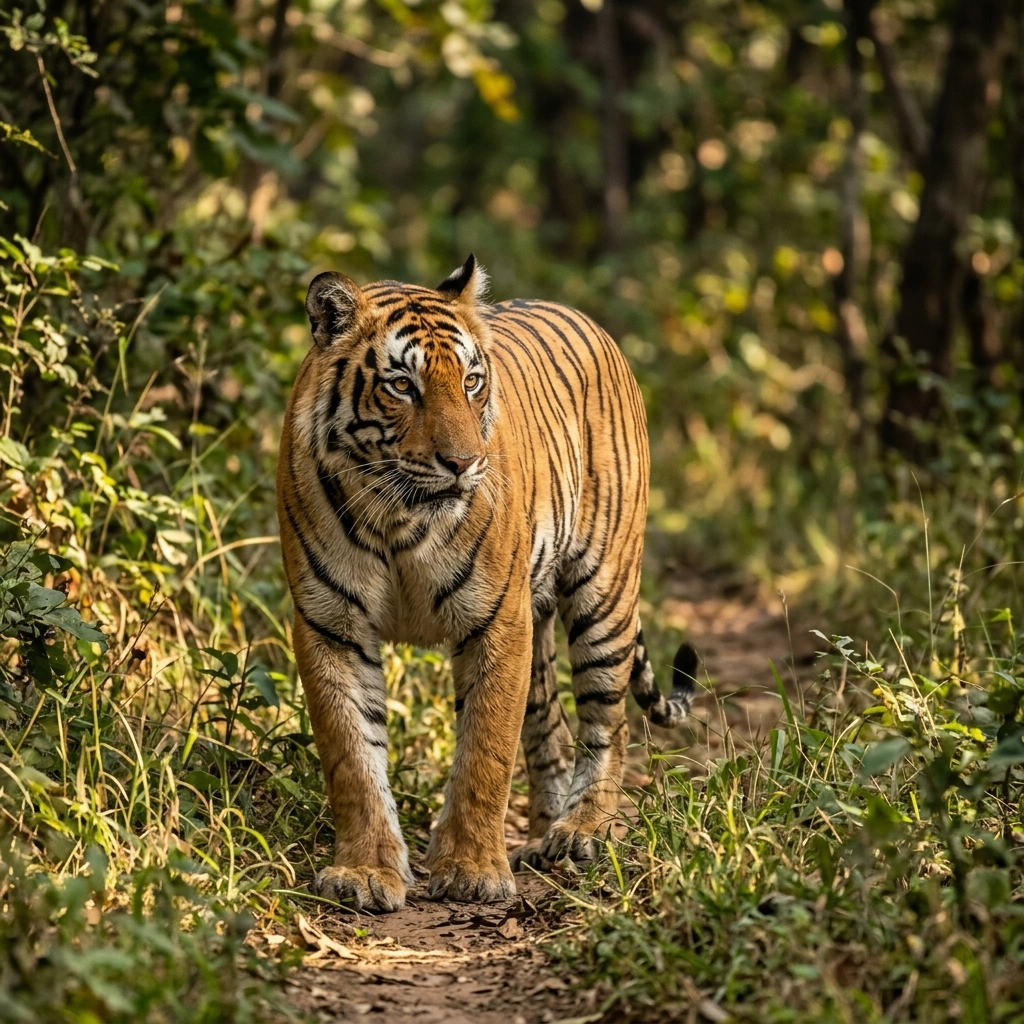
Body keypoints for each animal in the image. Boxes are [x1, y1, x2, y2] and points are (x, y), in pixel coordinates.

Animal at [277, 254, 696, 911]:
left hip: (603, 590)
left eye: (472, 381)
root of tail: (588, 320)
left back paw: (582, 833)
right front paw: (366, 872)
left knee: (609, 721)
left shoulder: (497, 618)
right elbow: (352, 756)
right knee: (550, 726)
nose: (463, 462)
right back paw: (544, 838)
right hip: (542, 623)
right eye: (403, 385)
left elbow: (485, 748)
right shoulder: (331, 623)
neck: (398, 515)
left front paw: (471, 870)